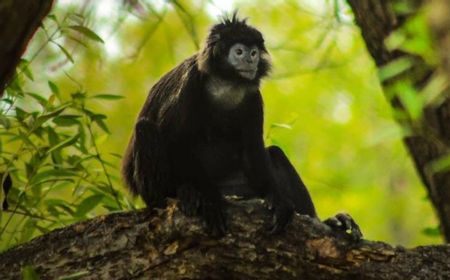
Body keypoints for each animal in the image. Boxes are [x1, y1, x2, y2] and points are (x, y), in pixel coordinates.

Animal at [121, 14, 360, 238]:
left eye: (253, 53)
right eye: (239, 51)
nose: (250, 61)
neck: (225, 83)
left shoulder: (253, 96)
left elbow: (253, 148)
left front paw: (278, 200)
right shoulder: (188, 83)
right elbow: (175, 140)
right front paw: (208, 200)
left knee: (275, 154)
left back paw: (331, 221)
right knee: (145, 129)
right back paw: (179, 194)